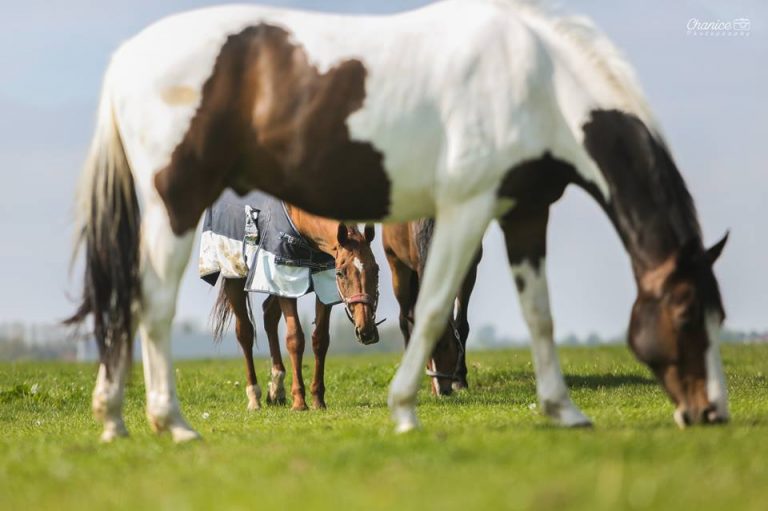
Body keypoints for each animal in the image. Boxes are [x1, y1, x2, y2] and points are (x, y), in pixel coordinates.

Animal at [208, 208, 380, 412]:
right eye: (341, 273)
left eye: (376, 270)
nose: (366, 330)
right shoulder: (284, 277)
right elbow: (295, 338)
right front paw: (299, 401)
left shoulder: (323, 281)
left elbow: (320, 340)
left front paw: (318, 400)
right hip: (235, 276)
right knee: (245, 332)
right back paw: (254, 397)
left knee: (269, 316)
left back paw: (276, 390)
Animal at [382, 220, 484, 396]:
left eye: (446, 345)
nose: (441, 391)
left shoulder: (469, 266)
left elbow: (461, 325)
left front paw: (460, 380)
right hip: (398, 270)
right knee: (404, 321)